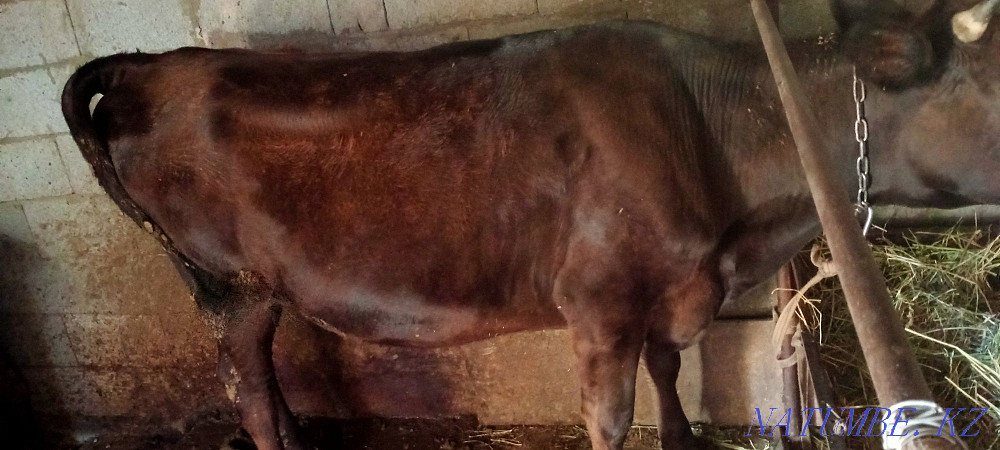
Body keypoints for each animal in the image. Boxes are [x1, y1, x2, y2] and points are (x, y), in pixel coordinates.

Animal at [61, 0, 1000, 448]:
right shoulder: (598, 305)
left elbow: (670, 371)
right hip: (231, 286)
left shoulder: (670, 291)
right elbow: (611, 416)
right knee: (245, 387)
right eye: (990, 86)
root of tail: (154, 67)